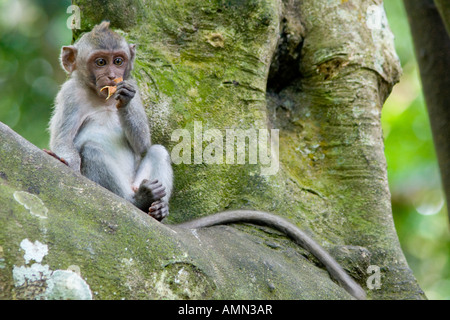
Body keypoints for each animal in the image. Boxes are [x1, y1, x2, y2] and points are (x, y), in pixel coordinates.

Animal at [46, 21, 171, 221]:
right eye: (101, 62)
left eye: (118, 61)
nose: (112, 76)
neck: (102, 98)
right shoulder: (70, 93)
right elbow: (62, 140)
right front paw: (68, 165)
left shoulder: (134, 87)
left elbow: (143, 146)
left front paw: (125, 100)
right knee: (91, 150)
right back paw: (139, 200)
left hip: (136, 180)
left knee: (158, 151)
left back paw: (158, 209)